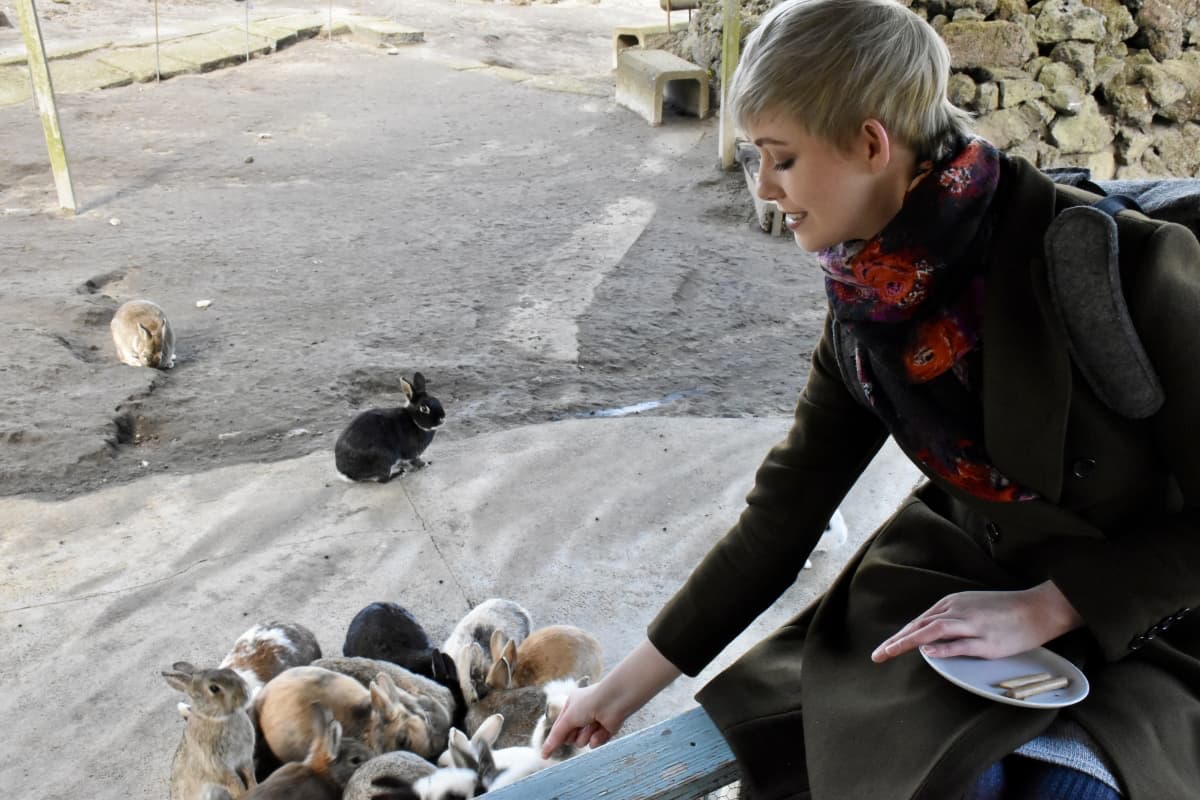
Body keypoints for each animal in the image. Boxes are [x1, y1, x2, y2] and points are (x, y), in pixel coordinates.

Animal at [164, 662, 258, 800]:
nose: (245, 692)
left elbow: (250, 776)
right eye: (214, 688)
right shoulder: (219, 769)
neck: (216, 718)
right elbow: (236, 785)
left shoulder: (244, 758)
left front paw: (256, 787)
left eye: (230, 671)